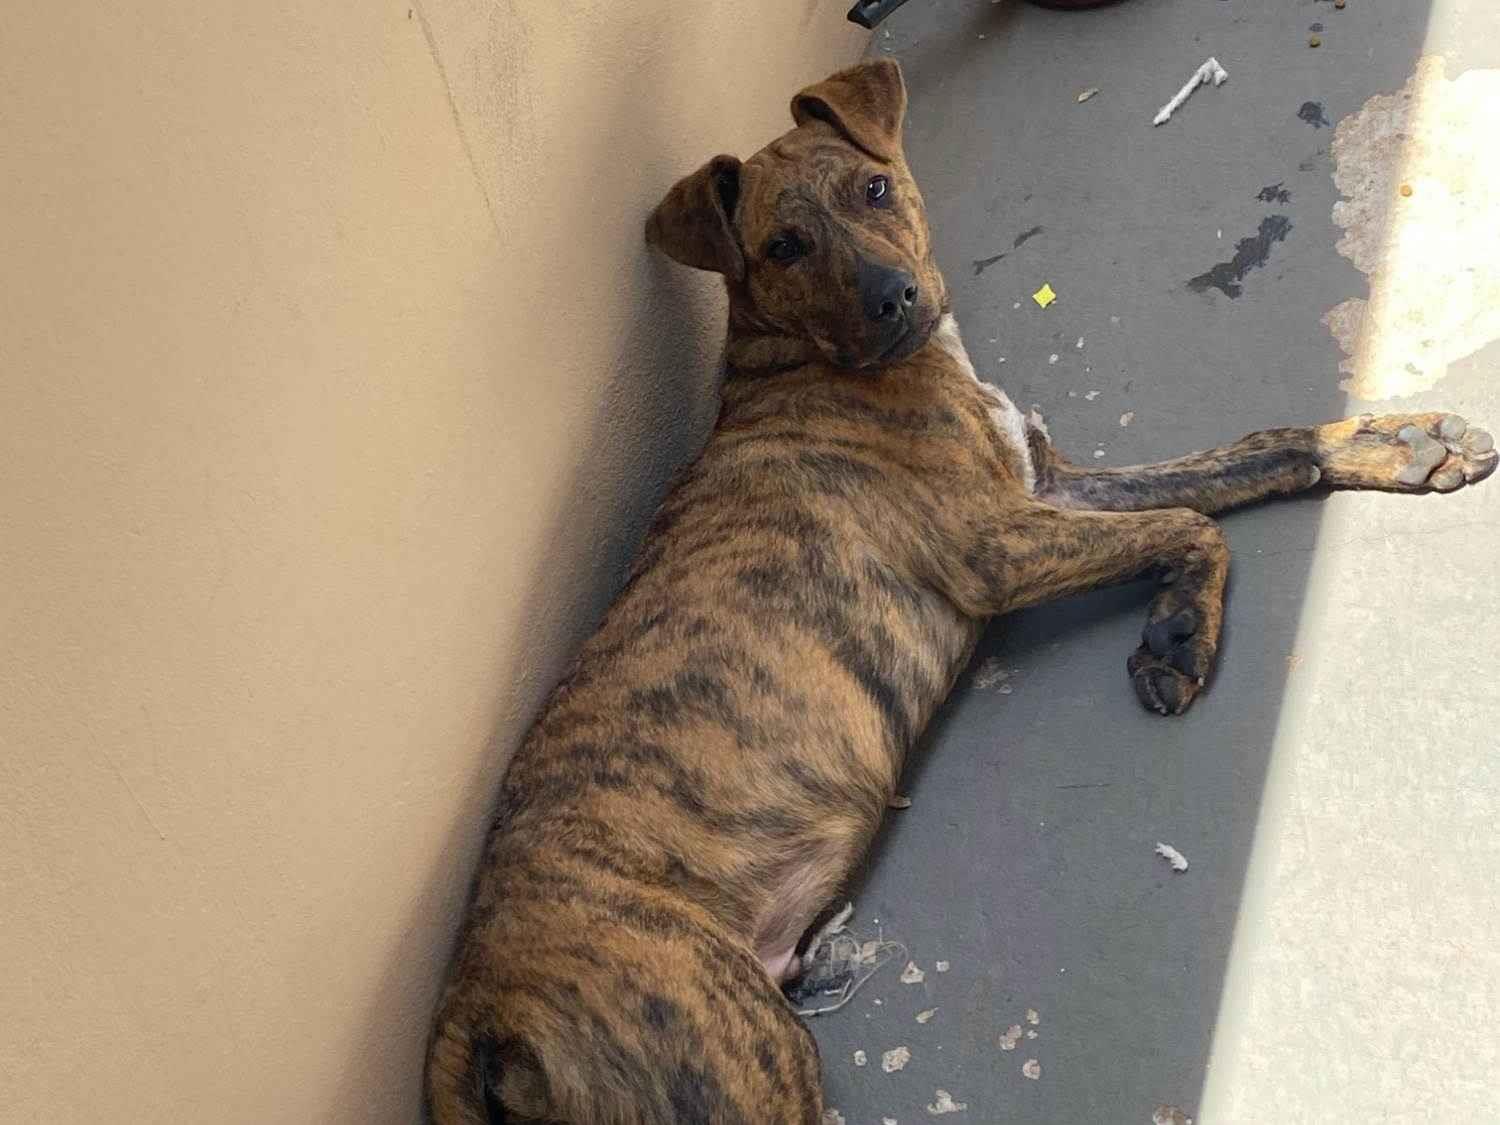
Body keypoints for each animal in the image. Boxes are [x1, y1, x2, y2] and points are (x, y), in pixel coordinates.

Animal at [425, 58, 1495, 1124]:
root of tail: (469, 1018)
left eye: (874, 189)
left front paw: (1399, 442)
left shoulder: (1047, 485)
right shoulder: (997, 544)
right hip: (737, 1052)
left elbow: (1247, 457)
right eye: (783, 245)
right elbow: (1192, 524)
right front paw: (1178, 635)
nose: (896, 298)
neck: (816, 362)